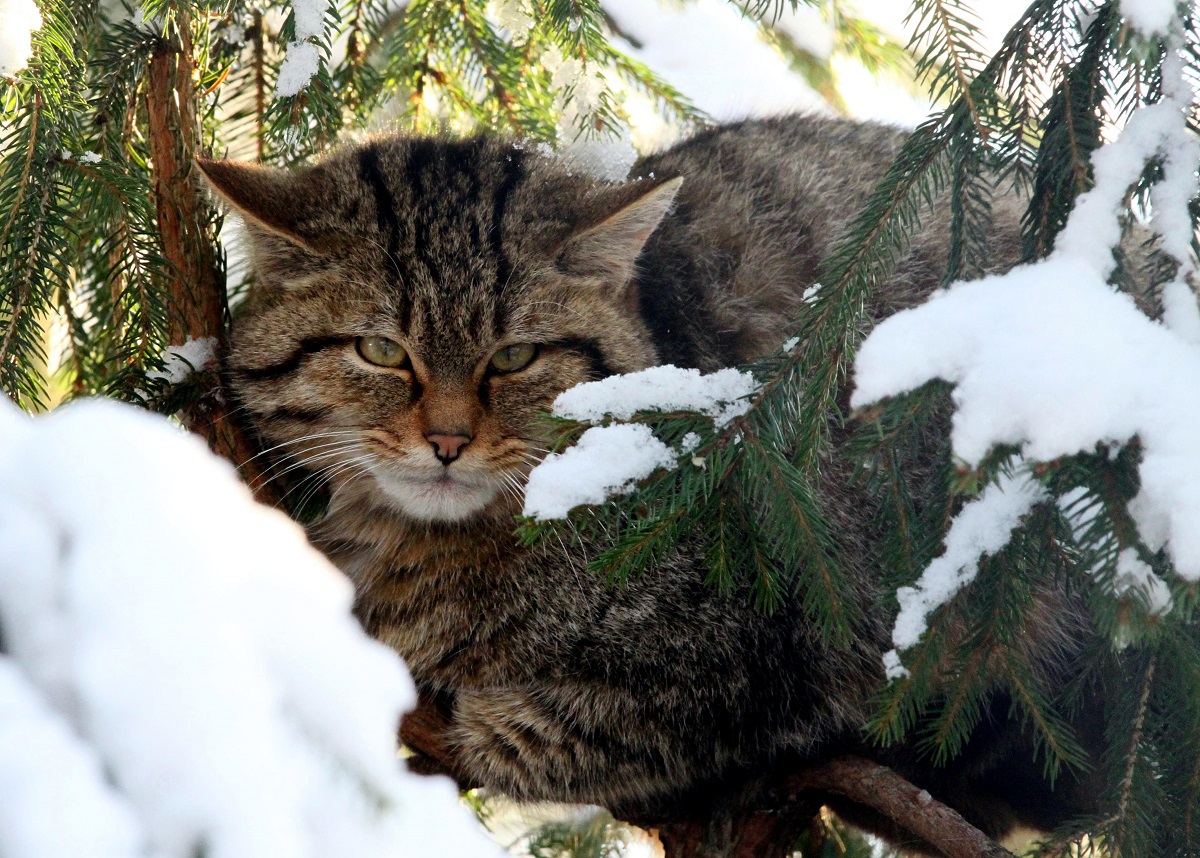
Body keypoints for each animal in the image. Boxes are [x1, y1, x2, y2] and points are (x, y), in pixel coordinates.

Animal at [199, 115, 1104, 854]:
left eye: (514, 357)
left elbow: (610, 724)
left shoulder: (789, 635)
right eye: (382, 352)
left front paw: (493, 726)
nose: (448, 441)